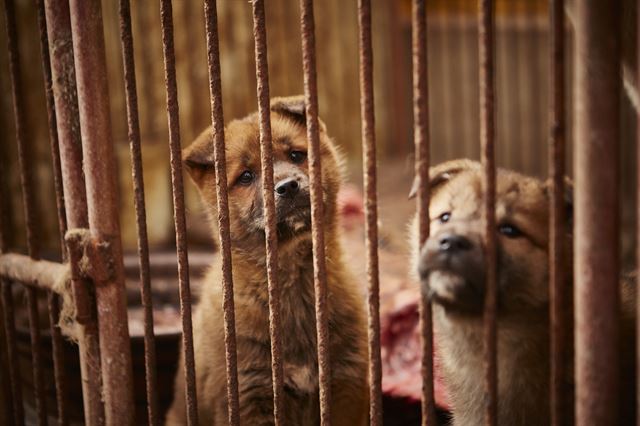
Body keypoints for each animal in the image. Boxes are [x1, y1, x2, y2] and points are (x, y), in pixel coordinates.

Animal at [165, 96, 368, 426]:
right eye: (246, 176)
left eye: (296, 155)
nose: (288, 186)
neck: (292, 281)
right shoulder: (250, 393)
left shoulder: (345, 386)